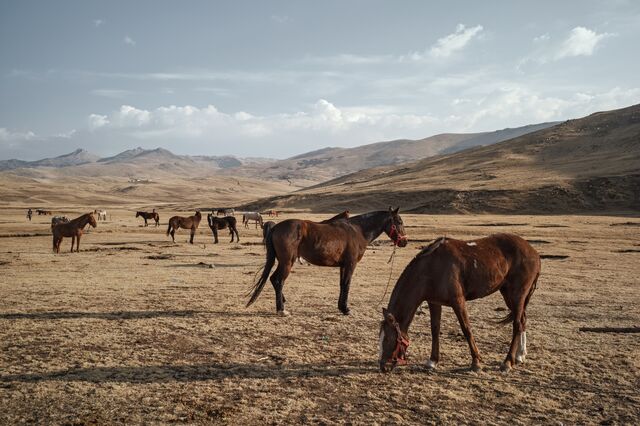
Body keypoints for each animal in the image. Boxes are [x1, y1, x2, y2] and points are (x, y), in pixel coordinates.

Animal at [246, 207, 408, 316]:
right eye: (399, 221)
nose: (404, 242)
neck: (358, 230)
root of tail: (276, 227)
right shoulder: (350, 264)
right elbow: (347, 285)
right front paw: (346, 309)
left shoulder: (343, 266)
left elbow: (342, 284)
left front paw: (341, 307)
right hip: (287, 262)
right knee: (278, 280)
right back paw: (281, 310)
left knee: (273, 279)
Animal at [378, 234, 541, 373]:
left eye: (388, 339)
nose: (383, 367)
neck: (431, 267)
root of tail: (534, 253)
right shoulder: (434, 302)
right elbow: (435, 330)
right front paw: (432, 361)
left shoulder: (458, 301)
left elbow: (466, 329)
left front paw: (476, 362)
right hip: (507, 294)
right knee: (522, 321)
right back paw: (520, 356)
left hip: (517, 294)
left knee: (517, 324)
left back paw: (507, 362)